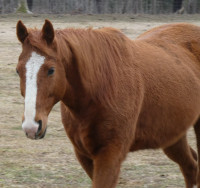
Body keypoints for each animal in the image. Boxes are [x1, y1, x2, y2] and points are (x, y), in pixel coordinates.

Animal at [16, 19, 200, 187]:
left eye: (51, 70)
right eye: (18, 70)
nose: (31, 126)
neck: (102, 87)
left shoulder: (110, 155)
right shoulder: (84, 155)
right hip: (172, 135)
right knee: (190, 167)